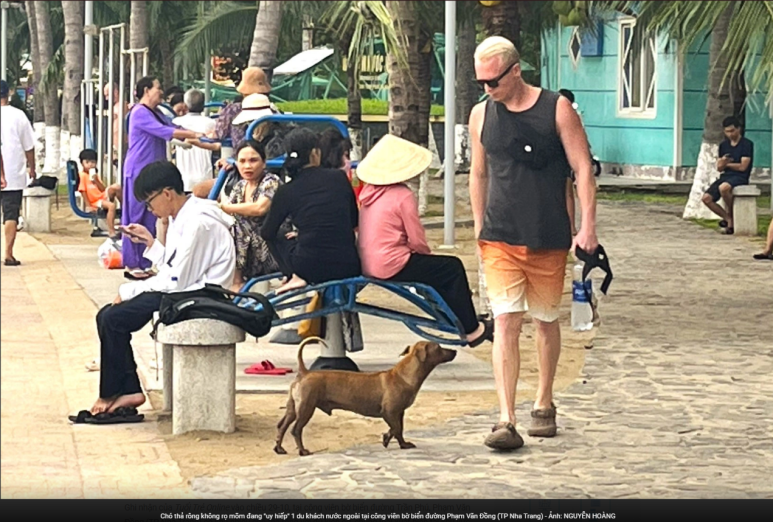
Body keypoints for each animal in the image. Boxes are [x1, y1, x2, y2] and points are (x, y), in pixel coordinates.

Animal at [274, 336, 456, 452]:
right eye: (439, 348)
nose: (454, 351)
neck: (404, 375)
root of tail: (304, 372)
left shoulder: (399, 412)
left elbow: (399, 429)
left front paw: (402, 444)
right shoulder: (389, 412)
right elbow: (395, 428)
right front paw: (386, 438)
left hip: (292, 409)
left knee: (282, 426)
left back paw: (279, 448)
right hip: (306, 408)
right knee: (295, 430)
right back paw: (302, 451)